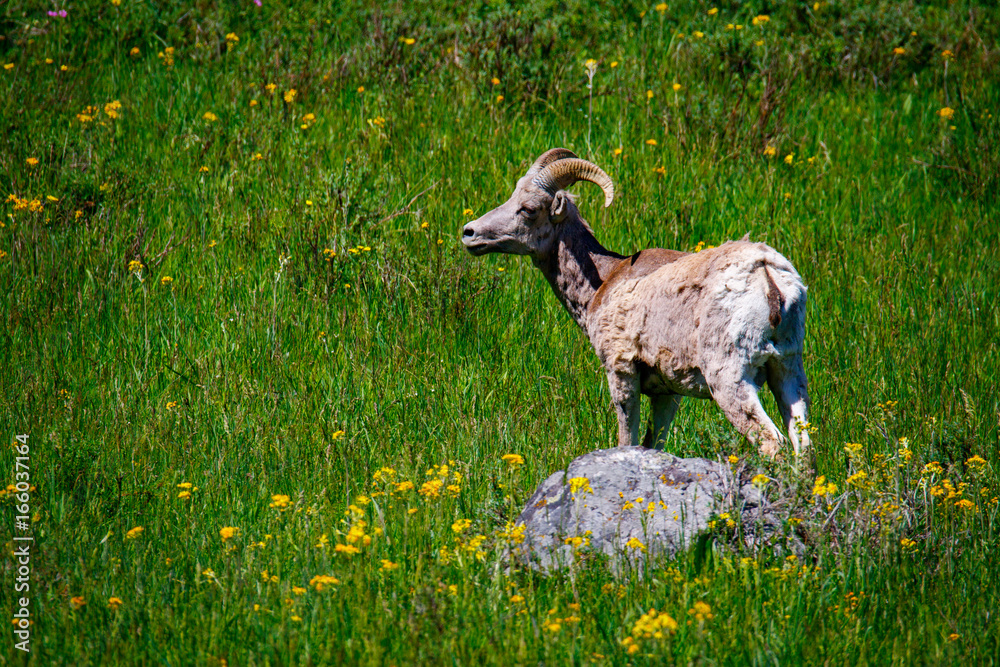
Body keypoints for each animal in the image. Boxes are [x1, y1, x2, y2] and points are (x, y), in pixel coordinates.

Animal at [461, 148, 811, 457]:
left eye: (529, 209)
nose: (469, 233)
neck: (604, 282)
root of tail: (766, 274)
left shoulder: (621, 372)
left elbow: (626, 438)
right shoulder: (667, 392)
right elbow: (653, 443)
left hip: (731, 380)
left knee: (773, 444)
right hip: (788, 372)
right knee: (803, 447)